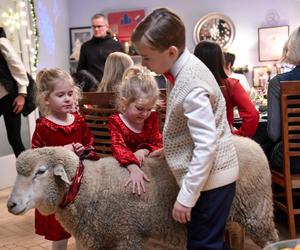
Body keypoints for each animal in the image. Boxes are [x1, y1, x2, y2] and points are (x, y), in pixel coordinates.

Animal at [7, 136, 278, 249]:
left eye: (41, 171)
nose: (10, 205)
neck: (87, 186)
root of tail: (254, 143)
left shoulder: (127, 235)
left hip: (257, 211)